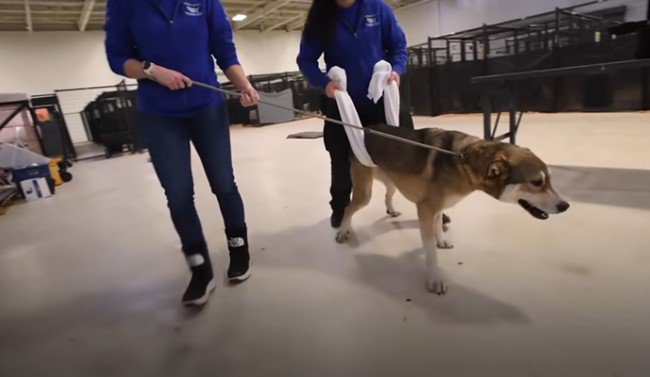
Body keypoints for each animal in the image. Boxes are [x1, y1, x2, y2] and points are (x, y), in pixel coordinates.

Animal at [334, 123, 568, 294]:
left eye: (549, 179)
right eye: (537, 182)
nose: (565, 206)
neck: (464, 161)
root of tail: (364, 129)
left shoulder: (437, 207)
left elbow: (438, 223)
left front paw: (441, 240)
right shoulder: (425, 209)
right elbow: (430, 251)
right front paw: (434, 279)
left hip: (390, 179)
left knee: (387, 195)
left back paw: (390, 210)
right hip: (364, 192)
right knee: (348, 207)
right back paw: (343, 230)